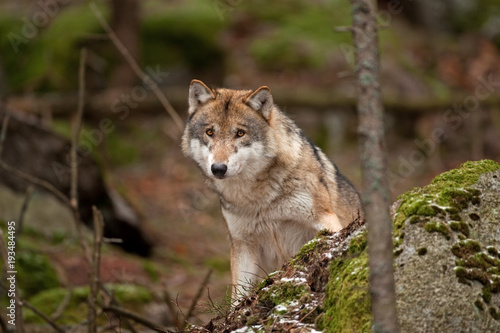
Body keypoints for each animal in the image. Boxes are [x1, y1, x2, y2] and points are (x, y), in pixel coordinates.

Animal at [182, 80, 362, 296]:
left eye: (240, 133)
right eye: (210, 132)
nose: (218, 168)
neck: (259, 198)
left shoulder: (326, 222)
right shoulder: (243, 243)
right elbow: (238, 295)